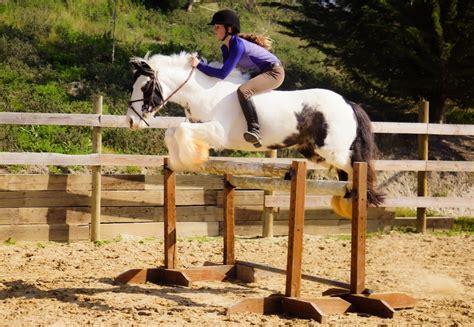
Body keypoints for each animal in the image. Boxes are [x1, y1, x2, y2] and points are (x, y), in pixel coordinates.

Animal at [127, 52, 386, 219]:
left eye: (144, 87)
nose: (130, 121)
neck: (204, 92)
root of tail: (348, 103)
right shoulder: (196, 126)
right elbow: (172, 132)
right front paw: (180, 159)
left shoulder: (218, 131)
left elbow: (179, 131)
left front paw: (190, 158)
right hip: (314, 151)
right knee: (346, 172)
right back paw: (347, 201)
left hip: (332, 150)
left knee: (356, 167)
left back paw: (357, 198)